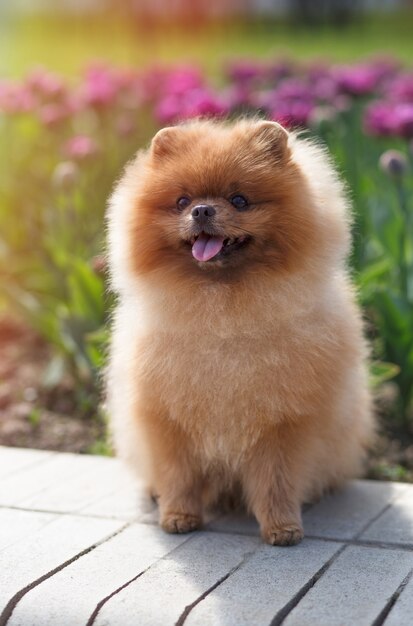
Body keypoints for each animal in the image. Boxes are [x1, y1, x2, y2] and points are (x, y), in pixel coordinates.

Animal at [106, 119, 374, 544]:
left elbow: (277, 481)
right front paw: (178, 516)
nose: (201, 209)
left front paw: (282, 527)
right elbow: (178, 475)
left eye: (240, 200)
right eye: (182, 201)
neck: (224, 314)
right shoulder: (166, 416)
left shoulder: (285, 422)